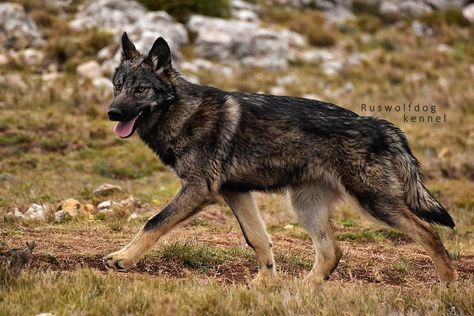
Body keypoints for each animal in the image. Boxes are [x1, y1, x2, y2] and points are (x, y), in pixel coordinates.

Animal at [104, 34, 456, 286]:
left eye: (140, 90)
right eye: (117, 87)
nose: (112, 113)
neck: (182, 112)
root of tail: (380, 124)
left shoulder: (199, 191)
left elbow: (154, 222)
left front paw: (122, 257)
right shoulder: (236, 192)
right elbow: (258, 241)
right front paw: (264, 285)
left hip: (374, 204)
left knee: (430, 233)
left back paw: (447, 286)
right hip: (306, 207)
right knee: (332, 252)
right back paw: (304, 289)